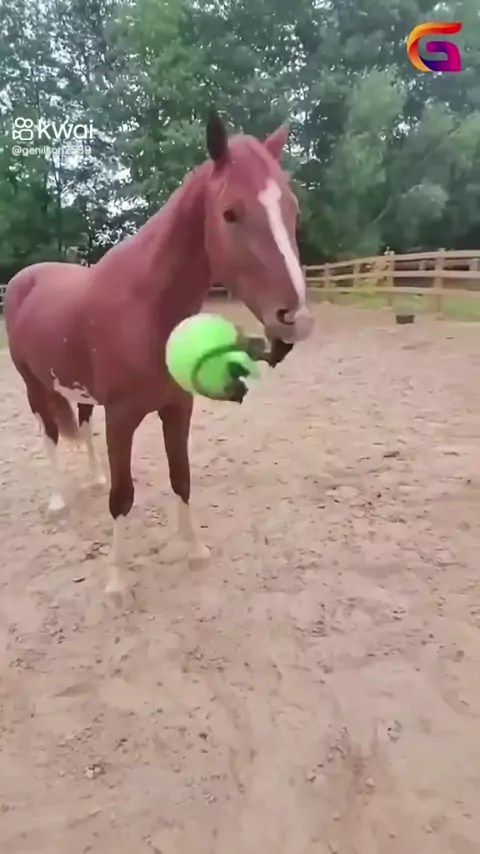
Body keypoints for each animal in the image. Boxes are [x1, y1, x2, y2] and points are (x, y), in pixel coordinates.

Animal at [4, 111, 314, 604]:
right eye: (230, 213)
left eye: (292, 210)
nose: (296, 319)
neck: (146, 308)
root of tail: (24, 278)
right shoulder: (122, 418)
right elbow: (122, 495)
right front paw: (115, 582)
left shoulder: (177, 408)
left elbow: (180, 477)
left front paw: (195, 550)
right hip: (33, 385)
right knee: (50, 436)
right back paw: (58, 501)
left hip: (80, 391)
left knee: (82, 426)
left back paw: (90, 478)